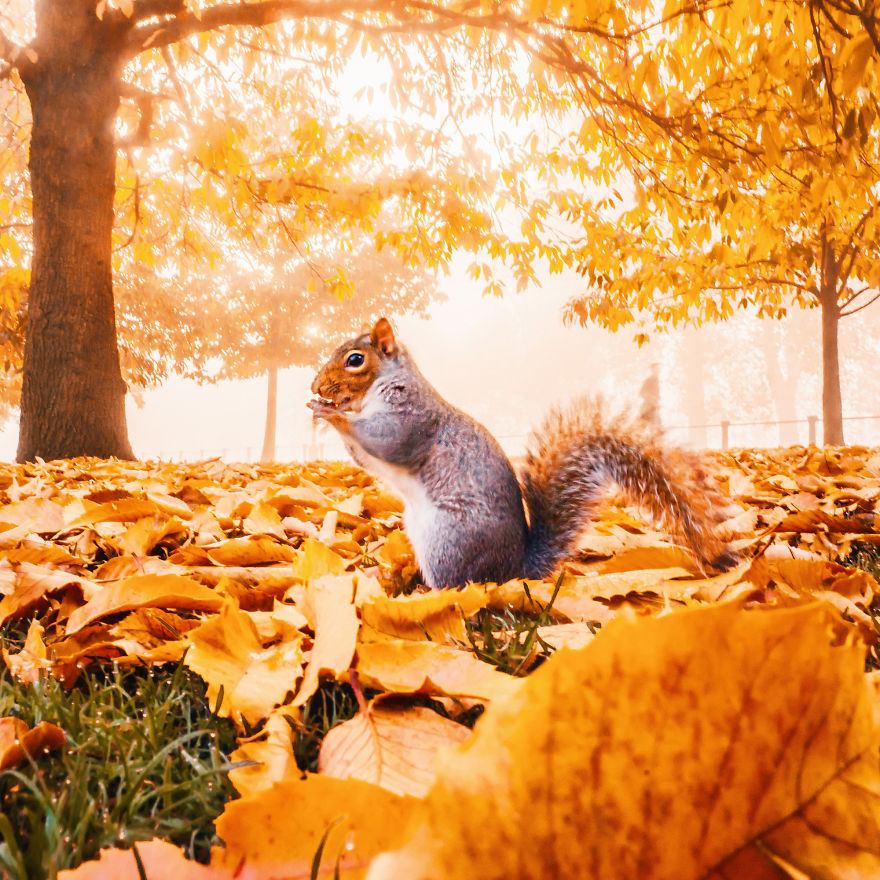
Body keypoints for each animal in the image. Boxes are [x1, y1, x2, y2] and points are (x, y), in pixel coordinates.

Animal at [308, 320, 736, 588]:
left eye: (355, 360)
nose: (315, 386)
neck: (383, 385)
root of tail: (513, 572)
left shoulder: (411, 416)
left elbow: (384, 439)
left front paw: (332, 414)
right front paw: (321, 408)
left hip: (447, 540)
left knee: (456, 586)